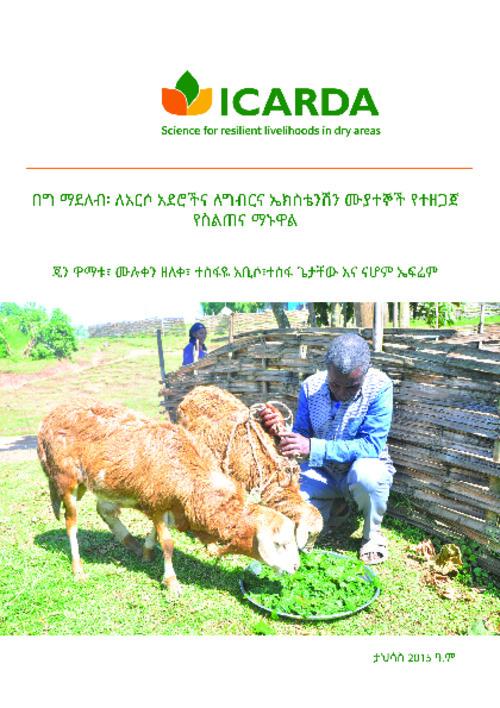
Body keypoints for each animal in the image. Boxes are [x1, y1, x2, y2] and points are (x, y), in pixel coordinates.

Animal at [37, 401, 300, 595]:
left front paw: (146, 552)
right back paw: (78, 569)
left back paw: (129, 542)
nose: (297, 567)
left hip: (106, 483)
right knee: (71, 524)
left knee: (104, 510)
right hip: (66, 480)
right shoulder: (157, 503)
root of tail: (47, 420)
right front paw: (172, 582)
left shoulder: (166, 505)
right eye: (279, 544)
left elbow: (155, 533)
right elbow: (168, 543)